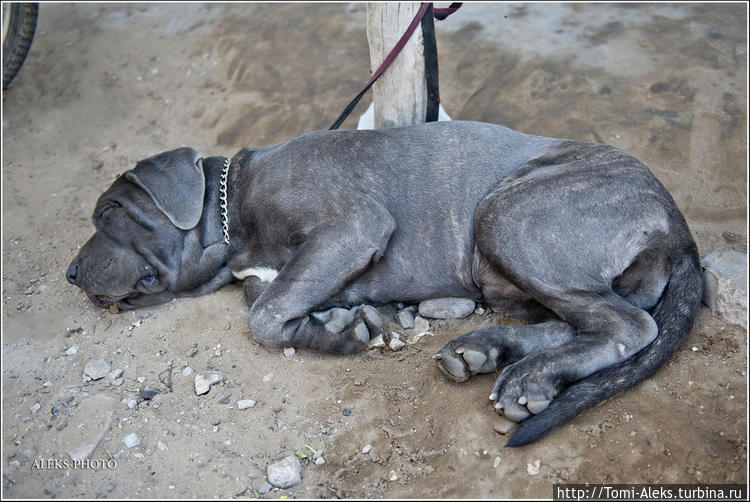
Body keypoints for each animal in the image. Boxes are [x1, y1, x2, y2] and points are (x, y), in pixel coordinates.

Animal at [66, 121, 704, 448]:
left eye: (110, 211)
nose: (71, 273)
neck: (232, 212)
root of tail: (677, 220)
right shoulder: (290, 270)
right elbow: (275, 303)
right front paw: (334, 328)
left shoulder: (351, 226)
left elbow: (264, 315)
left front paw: (338, 331)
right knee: (576, 320)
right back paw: (489, 350)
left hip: (507, 215)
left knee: (628, 324)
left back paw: (531, 375)